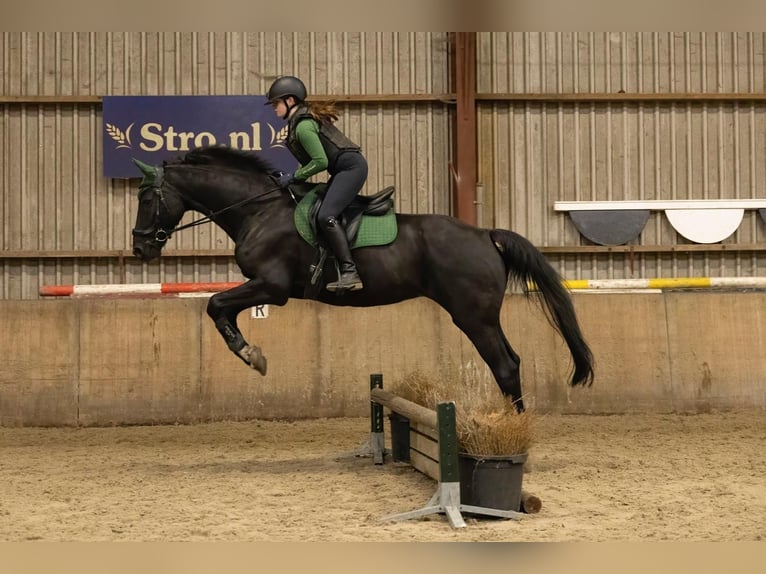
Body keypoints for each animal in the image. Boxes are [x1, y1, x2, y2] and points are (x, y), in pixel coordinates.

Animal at [130, 145, 594, 411]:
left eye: (147, 198)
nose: (139, 248)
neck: (257, 210)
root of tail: (485, 235)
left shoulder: (272, 287)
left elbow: (216, 306)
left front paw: (251, 355)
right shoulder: (264, 288)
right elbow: (220, 309)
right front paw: (251, 353)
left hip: (472, 316)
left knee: (504, 365)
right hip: (478, 316)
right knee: (509, 362)